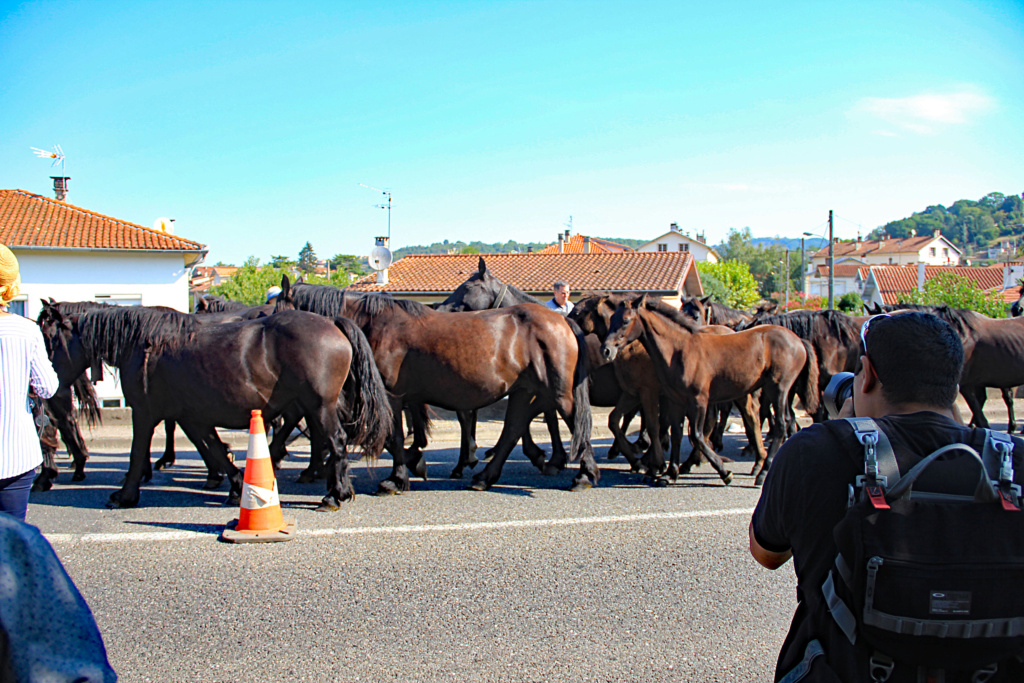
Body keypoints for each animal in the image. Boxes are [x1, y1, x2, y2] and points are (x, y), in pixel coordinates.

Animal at [38, 307, 391, 509]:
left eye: (51, 339)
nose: (46, 388)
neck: (144, 344)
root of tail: (331, 322)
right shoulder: (191, 416)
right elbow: (215, 450)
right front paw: (236, 484)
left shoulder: (145, 413)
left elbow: (137, 455)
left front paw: (125, 496)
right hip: (313, 405)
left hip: (319, 406)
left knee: (337, 442)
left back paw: (335, 494)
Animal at [280, 280, 598, 493]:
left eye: (276, 310)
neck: (377, 324)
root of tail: (562, 320)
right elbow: (395, 437)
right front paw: (412, 465)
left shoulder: (390, 396)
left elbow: (393, 437)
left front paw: (399, 476)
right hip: (524, 391)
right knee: (513, 430)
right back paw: (485, 477)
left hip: (558, 392)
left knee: (575, 423)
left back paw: (584, 475)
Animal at [602, 294, 819, 485]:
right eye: (611, 318)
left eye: (625, 320)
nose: (606, 350)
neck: (679, 350)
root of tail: (798, 340)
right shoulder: (675, 400)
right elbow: (677, 433)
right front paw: (669, 474)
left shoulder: (697, 400)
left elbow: (696, 436)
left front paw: (724, 472)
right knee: (755, 419)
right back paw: (758, 464)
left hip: (778, 389)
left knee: (780, 425)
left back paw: (763, 472)